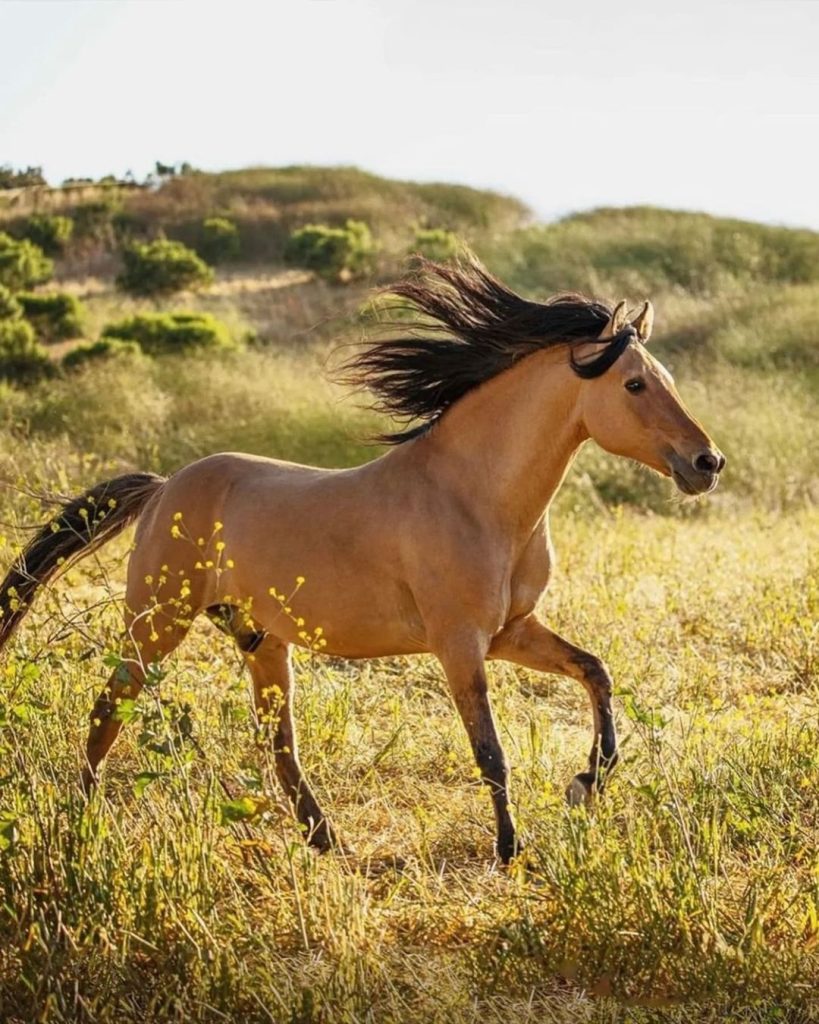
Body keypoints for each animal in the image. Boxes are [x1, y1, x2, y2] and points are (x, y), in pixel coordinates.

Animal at [0, 258, 724, 864]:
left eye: (665, 380)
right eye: (634, 384)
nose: (706, 463)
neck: (473, 494)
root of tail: (162, 489)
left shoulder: (510, 632)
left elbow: (595, 673)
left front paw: (584, 784)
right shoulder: (459, 644)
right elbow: (490, 751)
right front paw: (509, 848)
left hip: (261, 641)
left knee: (278, 745)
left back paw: (326, 841)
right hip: (157, 625)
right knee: (109, 707)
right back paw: (81, 821)